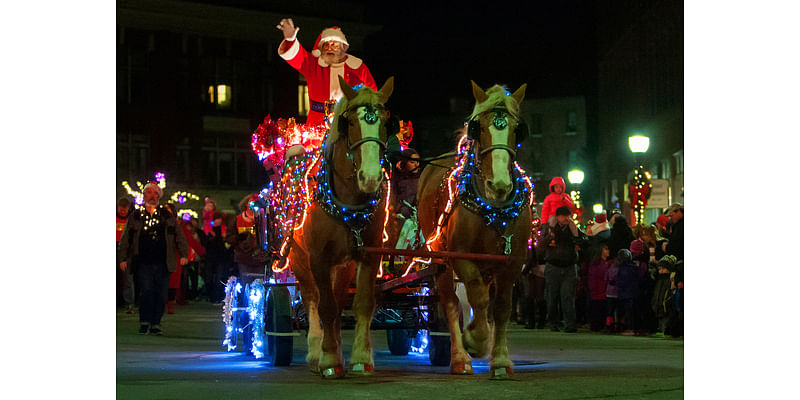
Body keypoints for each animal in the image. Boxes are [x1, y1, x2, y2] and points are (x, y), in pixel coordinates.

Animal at [282, 75, 396, 378]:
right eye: (350, 123)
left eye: (385, 122)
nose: (370, 178)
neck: (348, 203)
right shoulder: (318, 258)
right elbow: (326, 307)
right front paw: (329, 359)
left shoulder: (367, 254)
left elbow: (361, 304)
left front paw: (359, 358)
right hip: (299, 257)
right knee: (312, 297)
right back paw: (315, 351)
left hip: (343, 263)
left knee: (335, 295)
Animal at [416, 80, 536, 378]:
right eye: (478, 127)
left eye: (517, 129)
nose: (499, 185)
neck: (493, 208)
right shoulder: (463, 258)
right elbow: (478, 300)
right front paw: (475, 339)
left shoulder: (511, 263)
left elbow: (502, 307)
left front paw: (501, 360)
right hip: (441, 261)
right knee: (452, 303)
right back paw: (460, 357)